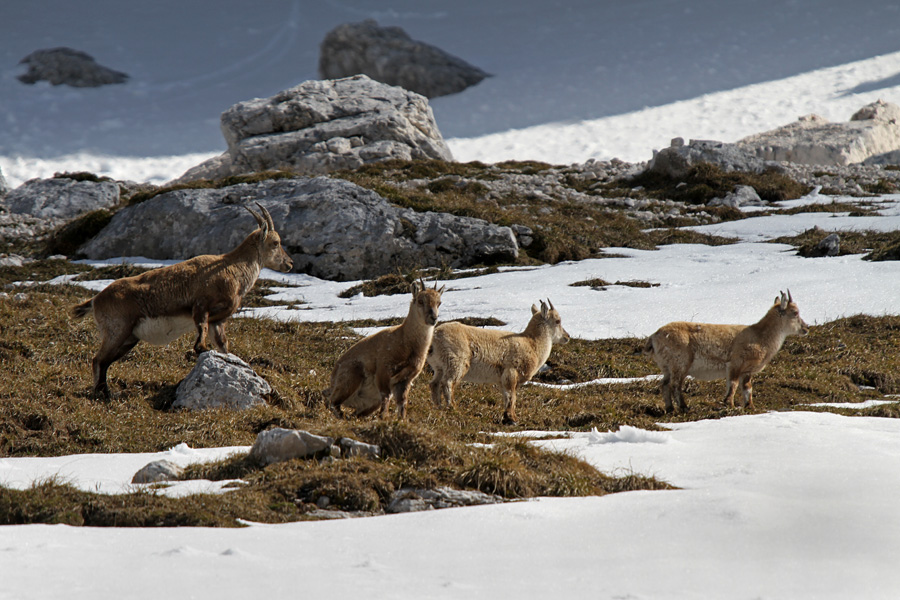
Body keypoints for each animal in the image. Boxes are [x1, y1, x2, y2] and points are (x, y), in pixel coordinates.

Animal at [71, 203, 293, 396]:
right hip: (117, 330)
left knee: (104, 361)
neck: (233, 269)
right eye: (276, 243)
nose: (289, 263)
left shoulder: (218, 321)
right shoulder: (201, 306)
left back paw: (104, 392)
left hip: (129, 338)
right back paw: (103, 394)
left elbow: (223, 345)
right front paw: (202, 351)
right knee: (98, 360)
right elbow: (200, 336)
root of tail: (95, 300)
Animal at [328, 280, 444, 420]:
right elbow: (386, 395)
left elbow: (402, 401)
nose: (434, 318)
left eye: (439, 302)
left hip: (371, 404)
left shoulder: (406, 378)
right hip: (352, 375)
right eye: (420, 301)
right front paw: (383, 418)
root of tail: (333, 378)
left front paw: (401, 419)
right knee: (332, 402)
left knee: (354, 412)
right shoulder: (383, 371)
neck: (405, 340)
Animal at [427, 299, 570, 425]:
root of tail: (434, 337)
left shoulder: (502, 379)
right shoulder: (511, 372)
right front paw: (512, 419)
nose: (567, 337)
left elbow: (506, 396)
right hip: (457, 362)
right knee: (448, 382)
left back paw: (438, 407)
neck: (532, 344)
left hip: (439, 366)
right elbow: (511, 396)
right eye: (558, 321)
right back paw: (453, 408)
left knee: (434, 384)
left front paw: (507, 417)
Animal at [643, 290, 809, 413]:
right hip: (680, 363)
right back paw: (684, 407)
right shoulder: (735, 363)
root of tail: (654, 337)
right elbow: (733, 384)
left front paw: (750, 406)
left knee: (664, 384)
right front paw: (729, 403)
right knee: (675, 385)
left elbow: (747, 387)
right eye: (795, 312)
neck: (760, 337)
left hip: (666, 366)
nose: (806, 328)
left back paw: (670, 408)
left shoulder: (747, 370)